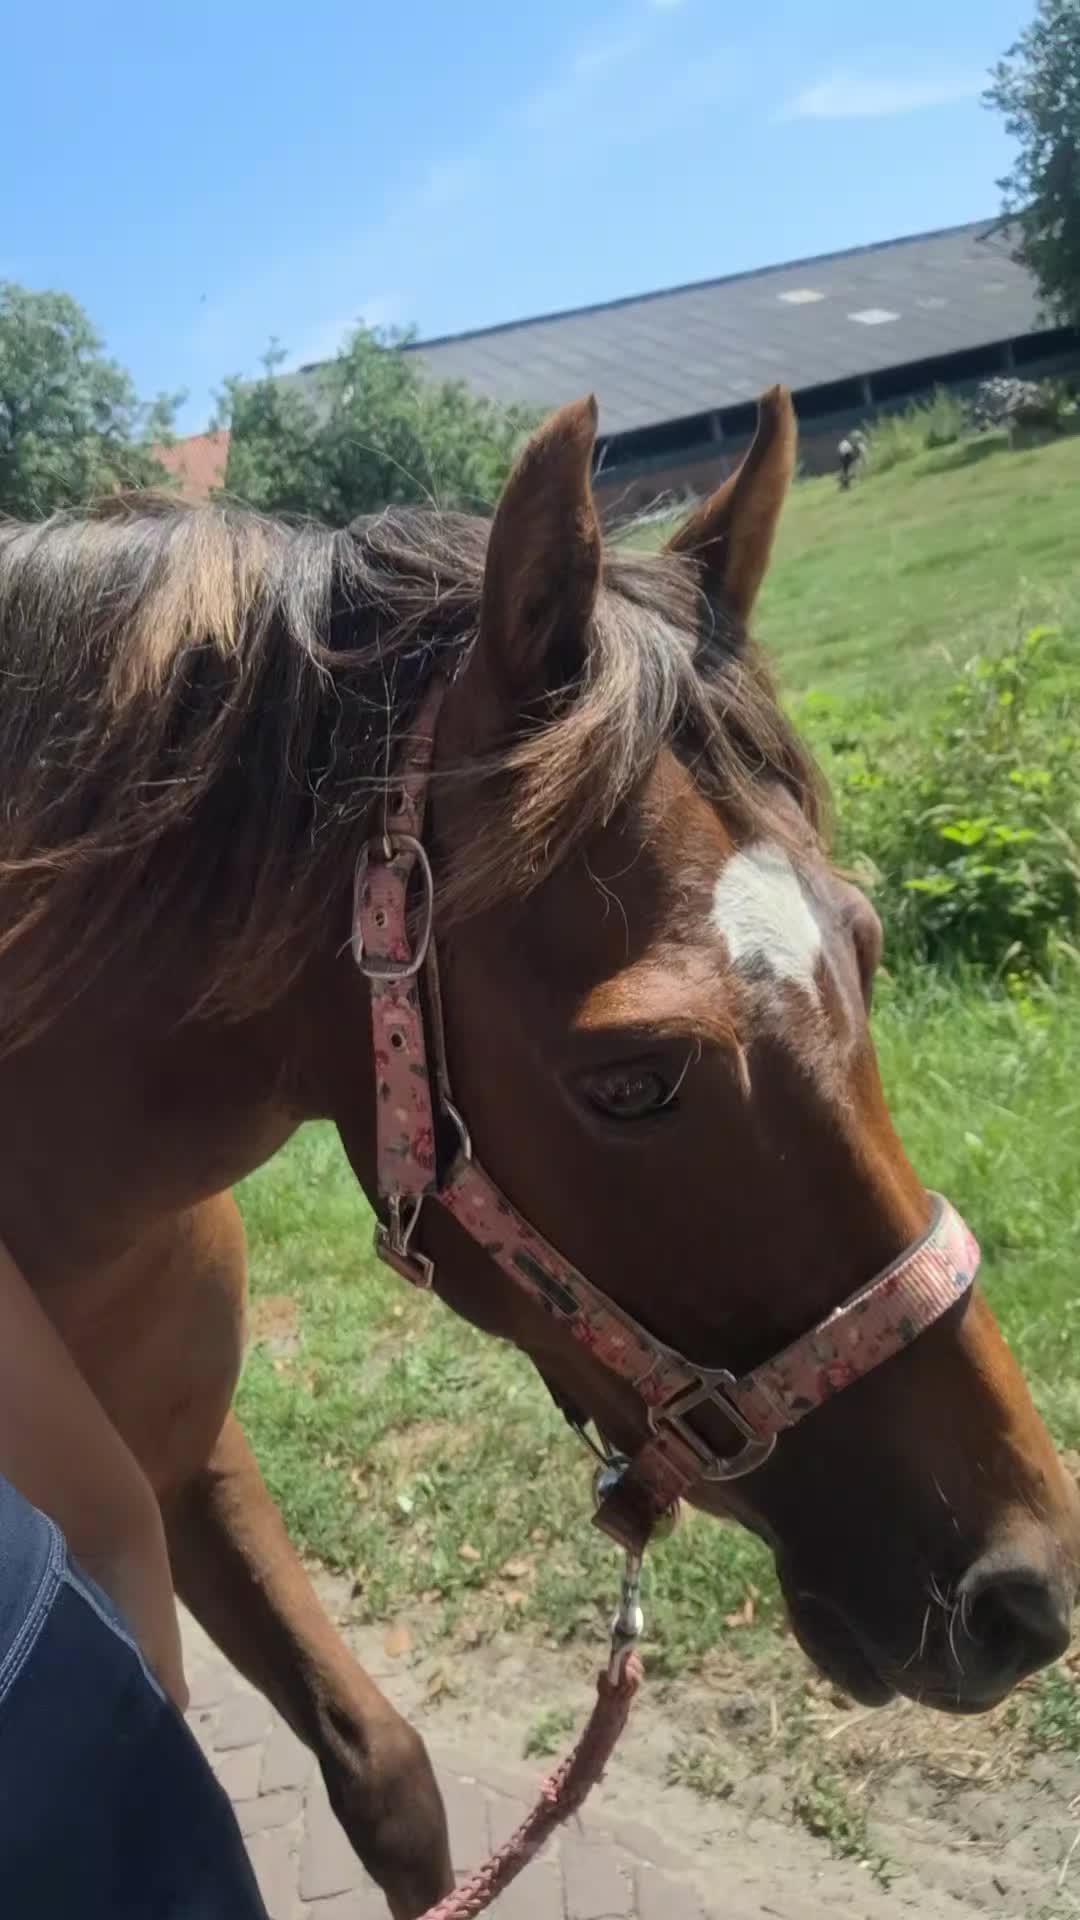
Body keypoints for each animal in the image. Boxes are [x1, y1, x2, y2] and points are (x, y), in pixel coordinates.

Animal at [0, 387, 1076, 1919]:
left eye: (866, 952)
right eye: (631, 1083)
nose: (1024, 1590)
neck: (73, 1229)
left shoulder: (191, 1450)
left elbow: (388, 1777)